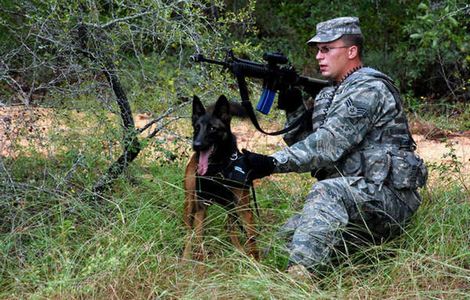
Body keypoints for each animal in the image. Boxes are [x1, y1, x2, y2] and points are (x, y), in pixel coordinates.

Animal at [182, 95, 258, 260]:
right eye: (196, 128)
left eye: (212, 128)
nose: (196, 145)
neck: (217, 168)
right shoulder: (201, 206)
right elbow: (199, 240)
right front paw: (200, 263)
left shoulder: (244, 208)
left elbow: (252, 239)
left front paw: (255, 262)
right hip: (190, 200)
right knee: (189, 231)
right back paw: (185, 257)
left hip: (231, 207)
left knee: (230, 228)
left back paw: (239, 251)